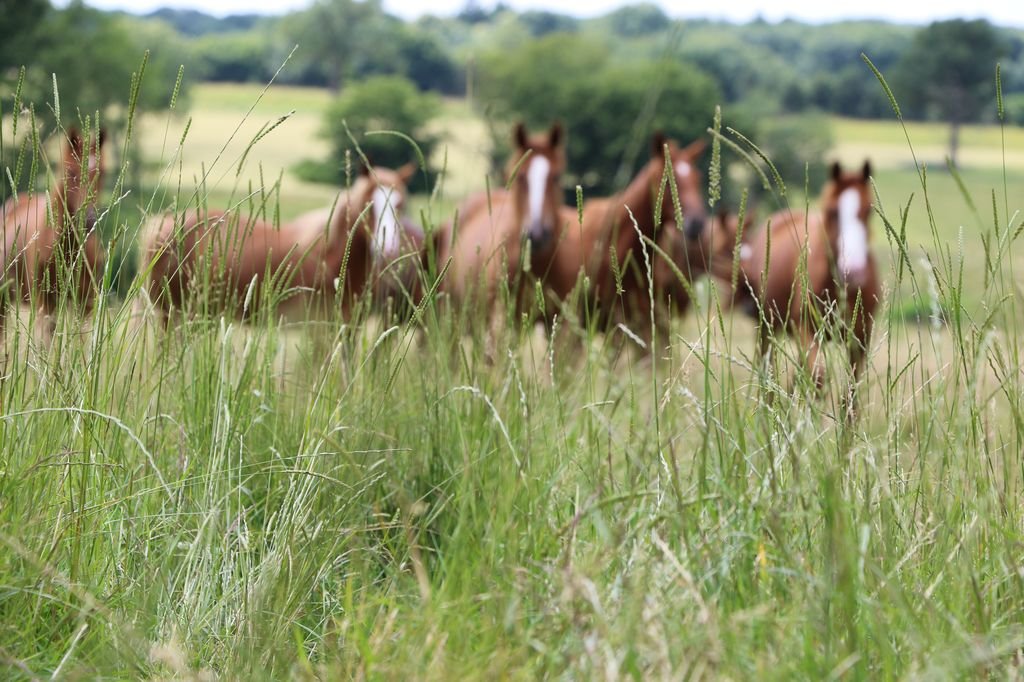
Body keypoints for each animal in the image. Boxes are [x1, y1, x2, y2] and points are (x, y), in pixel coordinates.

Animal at [140, 163, 414, 327]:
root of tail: (163, 225)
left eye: (401, 205)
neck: (331, 255)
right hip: (174, 316)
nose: (387, 247)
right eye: (369, 205)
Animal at [717, 160, 880, 411]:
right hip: (768, 327)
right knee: (768, 371)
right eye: (832, 212)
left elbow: (850, 397)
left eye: (868, 211)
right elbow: (818, 377)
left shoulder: (861, 339)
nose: (854, 272)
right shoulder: (806, 328)